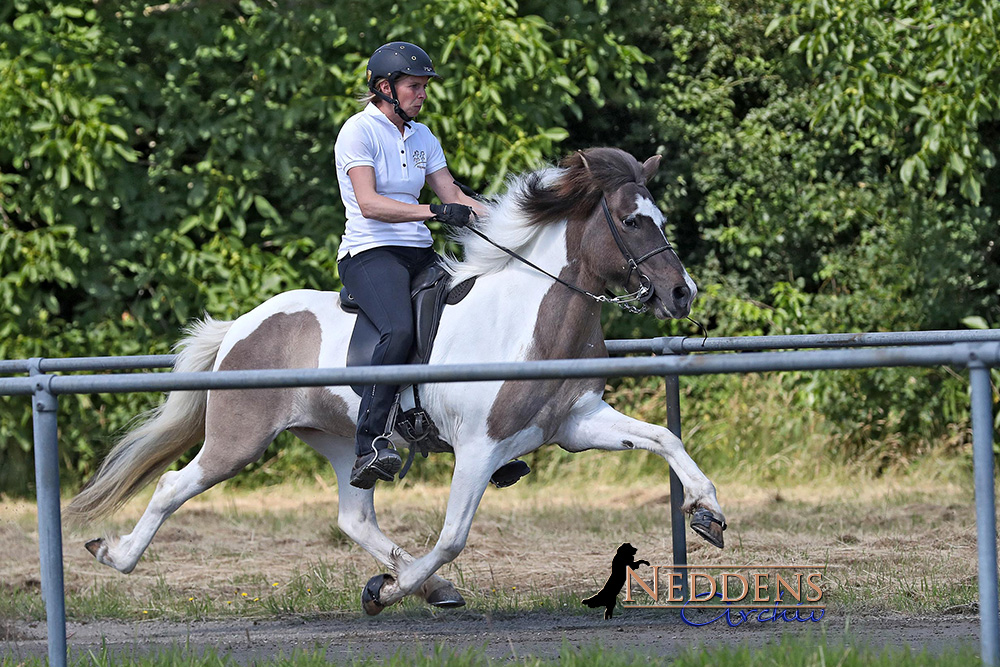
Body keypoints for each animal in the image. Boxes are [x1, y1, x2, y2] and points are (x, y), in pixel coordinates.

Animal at [68, 146, 728, 616]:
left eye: (659, 218)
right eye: (631, 221)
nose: (681, 294)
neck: (530, 315)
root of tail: (243, 327)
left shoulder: (577, 423)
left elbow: (664, 438)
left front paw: (707, 512)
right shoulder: (479, 448)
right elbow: (453, 535)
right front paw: (386, 591)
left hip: (346, 442)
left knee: (354, 517)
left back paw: (427, 588)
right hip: (238, 439)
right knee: (171, 486)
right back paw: (114, 553)